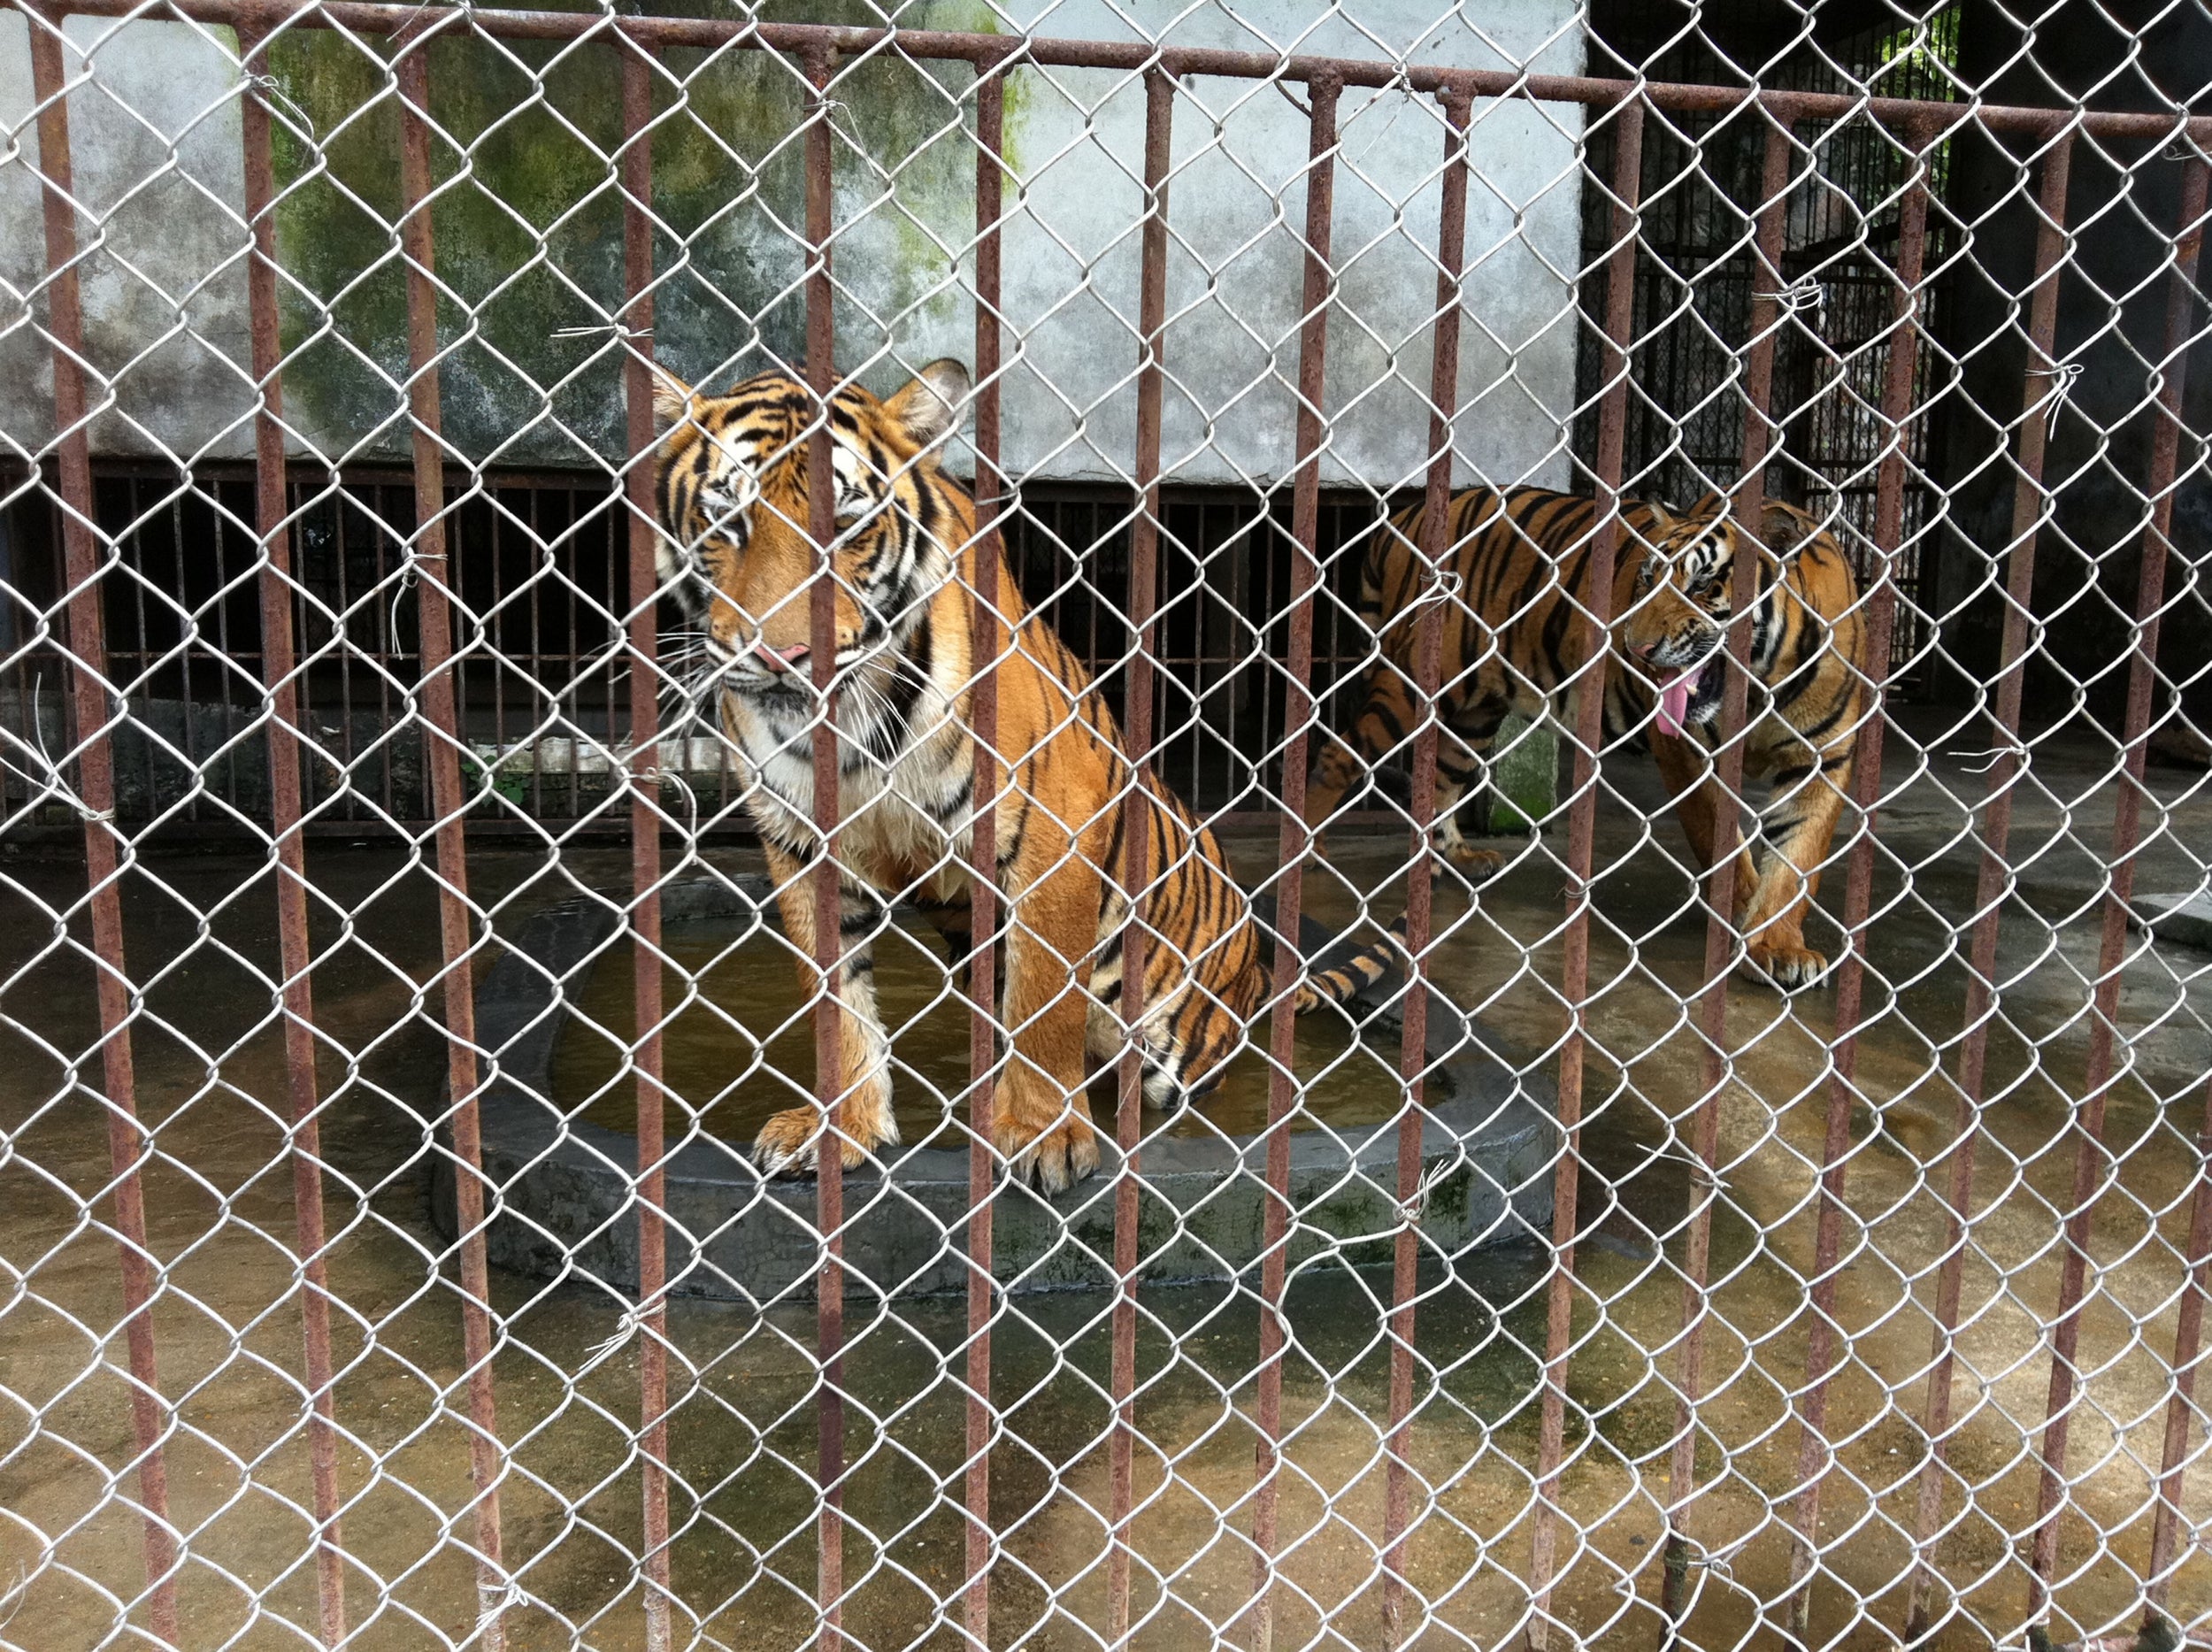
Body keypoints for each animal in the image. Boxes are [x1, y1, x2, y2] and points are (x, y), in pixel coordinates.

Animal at [646, 357, 1398, 1185]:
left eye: (843, 524)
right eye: (727, 522)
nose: (780, 656)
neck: (851, 732)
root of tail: (1258, 964)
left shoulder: (1054, 835)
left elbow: (1044, 1000)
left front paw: (1044, 1134)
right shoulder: (805, 846)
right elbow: (834, 999)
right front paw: (839, 1127)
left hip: (1177, 1043)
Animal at [1301, 484, 1876, 990]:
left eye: (1700, 584)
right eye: (1645, 578)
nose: (1636, 648)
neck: (1762, 682)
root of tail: (1410, 514)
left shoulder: (1824, 758)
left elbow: (1797, 861)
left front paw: (1777, 946)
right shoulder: (1687, 751)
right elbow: (1721, 838)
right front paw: (1740, 910)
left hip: (1475, 716)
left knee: (1442, 778)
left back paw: (1459, 858)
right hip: (1411, 688)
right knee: (1336, 755)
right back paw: (1309, 851)